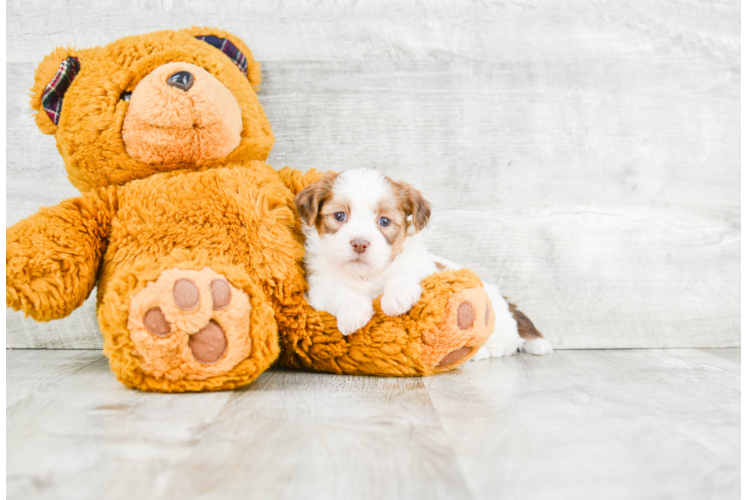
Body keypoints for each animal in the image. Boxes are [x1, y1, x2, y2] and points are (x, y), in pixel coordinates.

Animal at [296, 170, 552, 358]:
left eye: (384, 221)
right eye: (339, 216)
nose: (359, 243)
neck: (364, 275)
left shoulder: (421, 267)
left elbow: (404, 276)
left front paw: (396, 297)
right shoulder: (319, 287)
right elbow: (340, 293)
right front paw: (353, 312)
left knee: (505, 343)